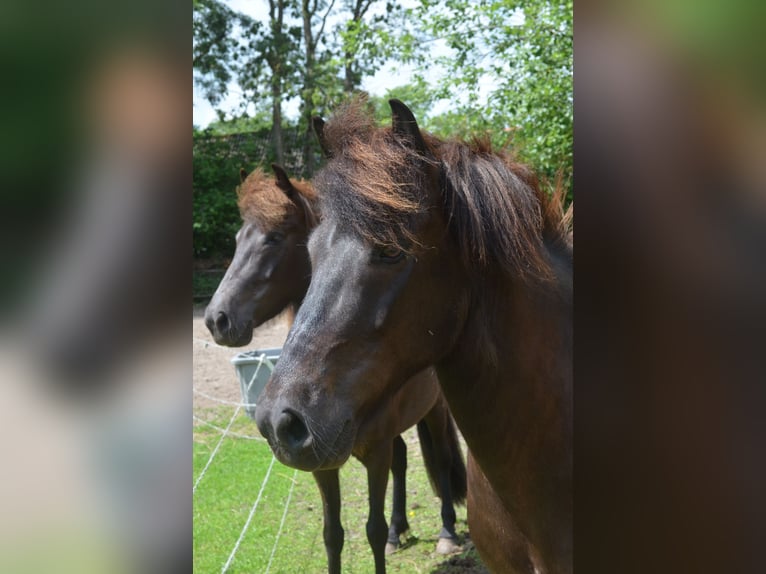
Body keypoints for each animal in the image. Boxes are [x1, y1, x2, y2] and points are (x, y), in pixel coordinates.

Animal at [204, 165, 467, 573]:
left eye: (274, 238)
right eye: (237, 239)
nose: (217, 319)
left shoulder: (375, 451)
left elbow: (372, 529)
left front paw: (398, 534)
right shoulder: (321, 464)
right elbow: (333, 535)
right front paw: (389, 534)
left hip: (435, 412)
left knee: (439, 460)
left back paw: (447, 532)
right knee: (403, 461)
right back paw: (400, 531)